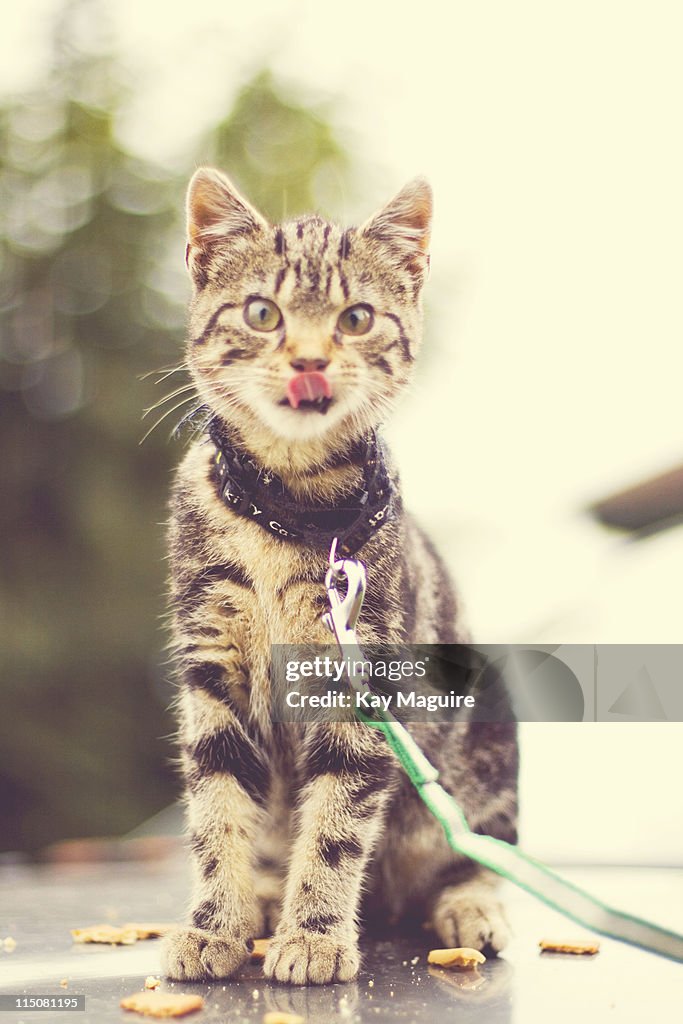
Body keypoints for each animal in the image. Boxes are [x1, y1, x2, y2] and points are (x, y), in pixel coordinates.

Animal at [161, 167, 518, 983]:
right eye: (262, 313)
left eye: (355, 319)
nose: (309, 360)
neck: (287, 508)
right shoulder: (211, 663)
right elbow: (218, 806)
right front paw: (214, 924)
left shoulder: (364, 676)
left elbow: (335, 821)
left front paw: (317, 934)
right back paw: (263, 900)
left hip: (484, 739)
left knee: (476, 852)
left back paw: (468, 906)